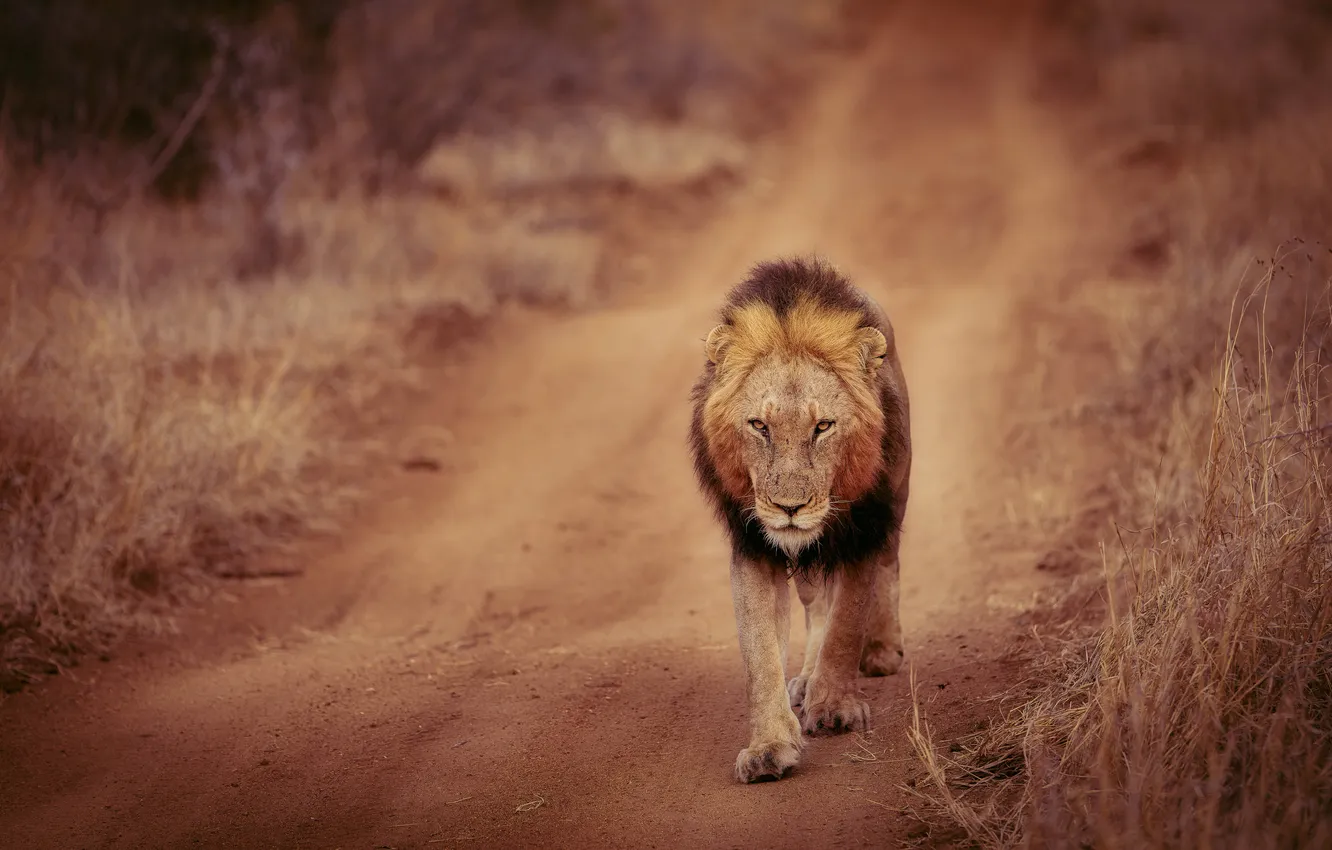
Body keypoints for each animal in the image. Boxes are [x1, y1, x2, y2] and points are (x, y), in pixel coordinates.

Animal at [687, 258, 916, 788]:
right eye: (760, 426)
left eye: (823, 426)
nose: (789, 508)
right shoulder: (754, 544)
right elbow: (759, 653)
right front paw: (770, 747)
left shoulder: (861, 536)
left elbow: (847, 622)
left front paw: (834, 707)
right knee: (816, 604)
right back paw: (807, 678)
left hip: (895, 499)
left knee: (889, 567)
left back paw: (881, 651)